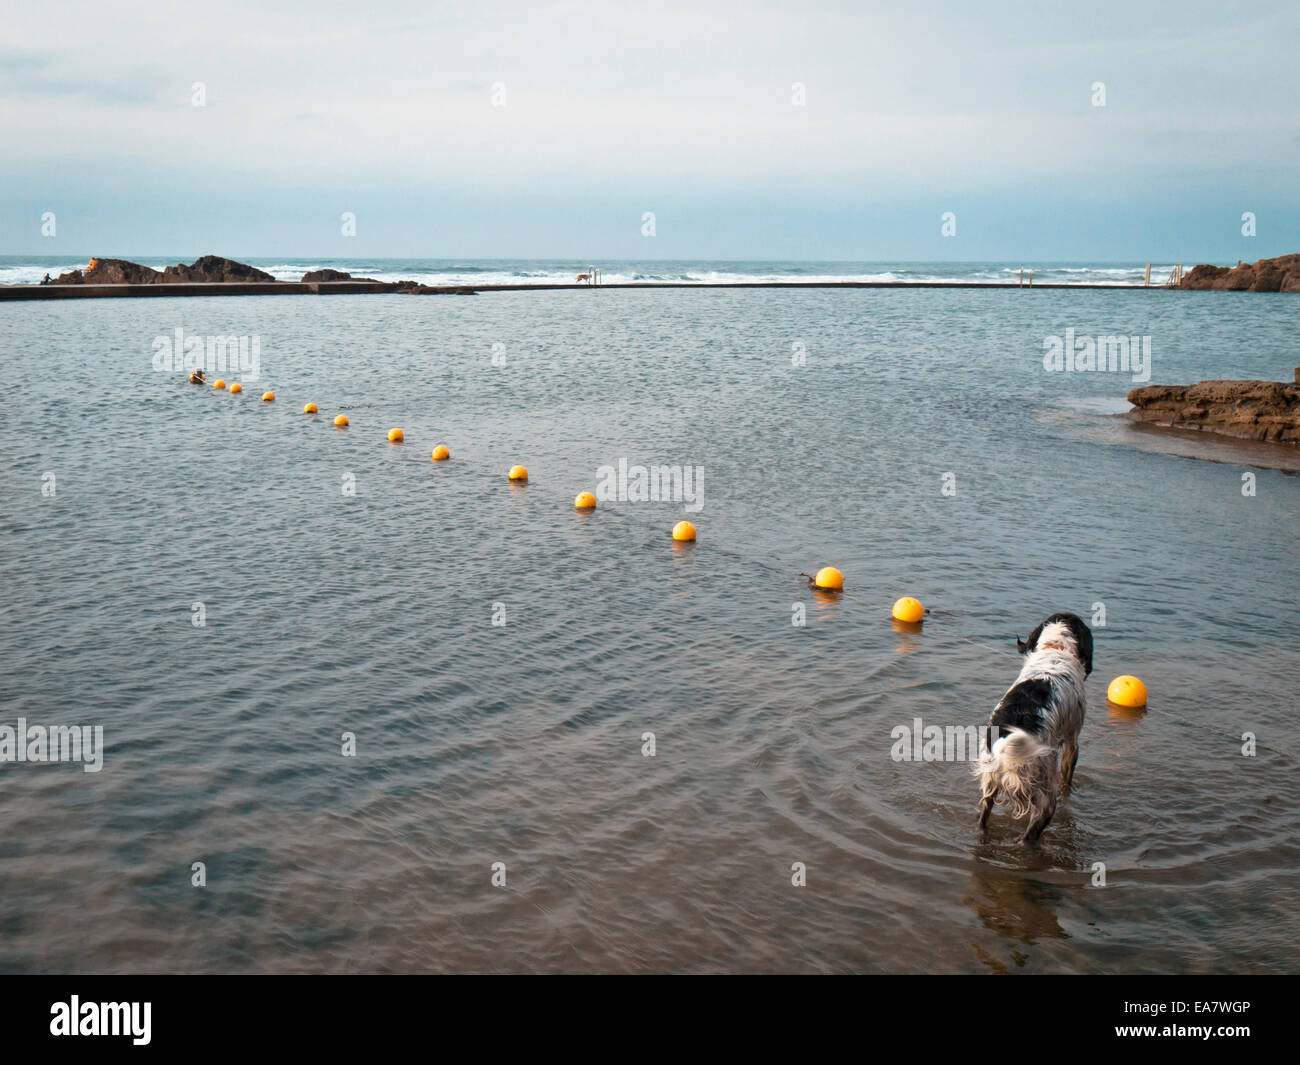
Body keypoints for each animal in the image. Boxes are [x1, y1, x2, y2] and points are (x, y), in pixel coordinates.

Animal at [977, 611, 1092, 847]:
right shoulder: (1072, 739)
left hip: (990, 780)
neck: (1055, 648)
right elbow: (1068, 776)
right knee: (1033, 829)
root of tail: (1005, 743)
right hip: (1044, 790)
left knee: (984, 815)